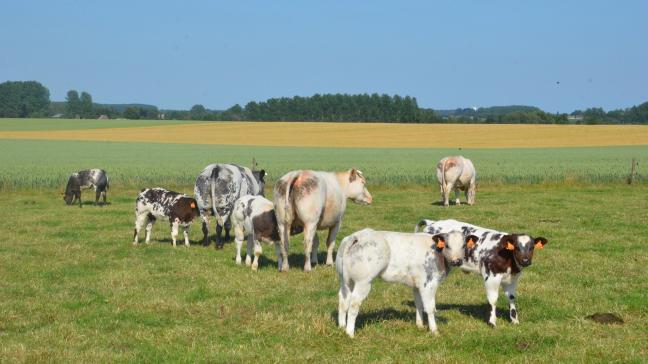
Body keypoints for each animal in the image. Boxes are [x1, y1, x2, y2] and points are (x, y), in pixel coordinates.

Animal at [334, 229, 480, 336]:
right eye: (447, 245)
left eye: (463, 245)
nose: (457, 261)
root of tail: (357, 236)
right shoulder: (428, 284)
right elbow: (430, 308)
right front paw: (434, 331)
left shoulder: (417, 285)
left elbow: (419, 304)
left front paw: (420, 325)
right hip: (363, 281)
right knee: (354, 303)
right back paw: (350, 333)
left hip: (344, 280)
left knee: (343, 300)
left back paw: (341, 326)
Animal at [416, 219, 548, 328]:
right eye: (516, 247)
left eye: (532, 247)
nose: (525, 261)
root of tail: (432, 223)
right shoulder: (491, 277)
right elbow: (493, 300)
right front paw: (492, 322)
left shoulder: (512, 279)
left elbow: (511, 297)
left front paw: (514, 320)